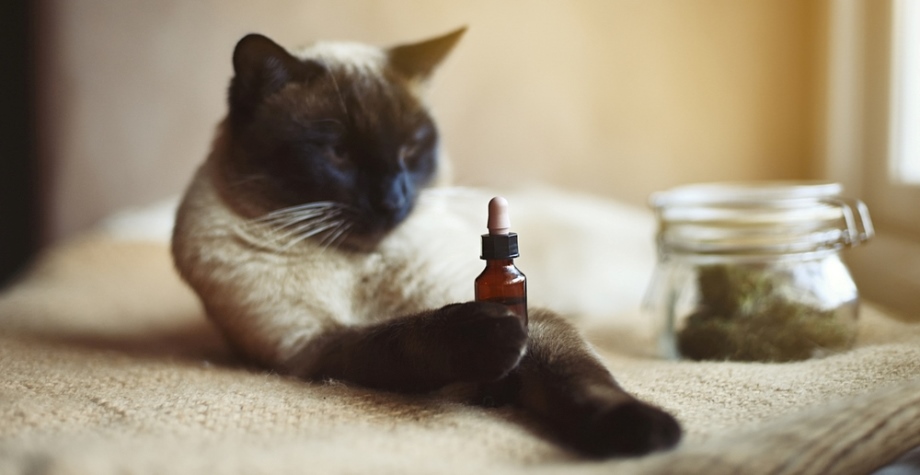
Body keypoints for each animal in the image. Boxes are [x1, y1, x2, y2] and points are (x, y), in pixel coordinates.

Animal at [172, 27, 680, 460]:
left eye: (411, 152)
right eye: (337, 154)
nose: (393, 199)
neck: (357, 262)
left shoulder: (533, 314)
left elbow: (581, 378)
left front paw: (640, 433)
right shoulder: (316, 347)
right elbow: (410, 334)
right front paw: (489, 338)